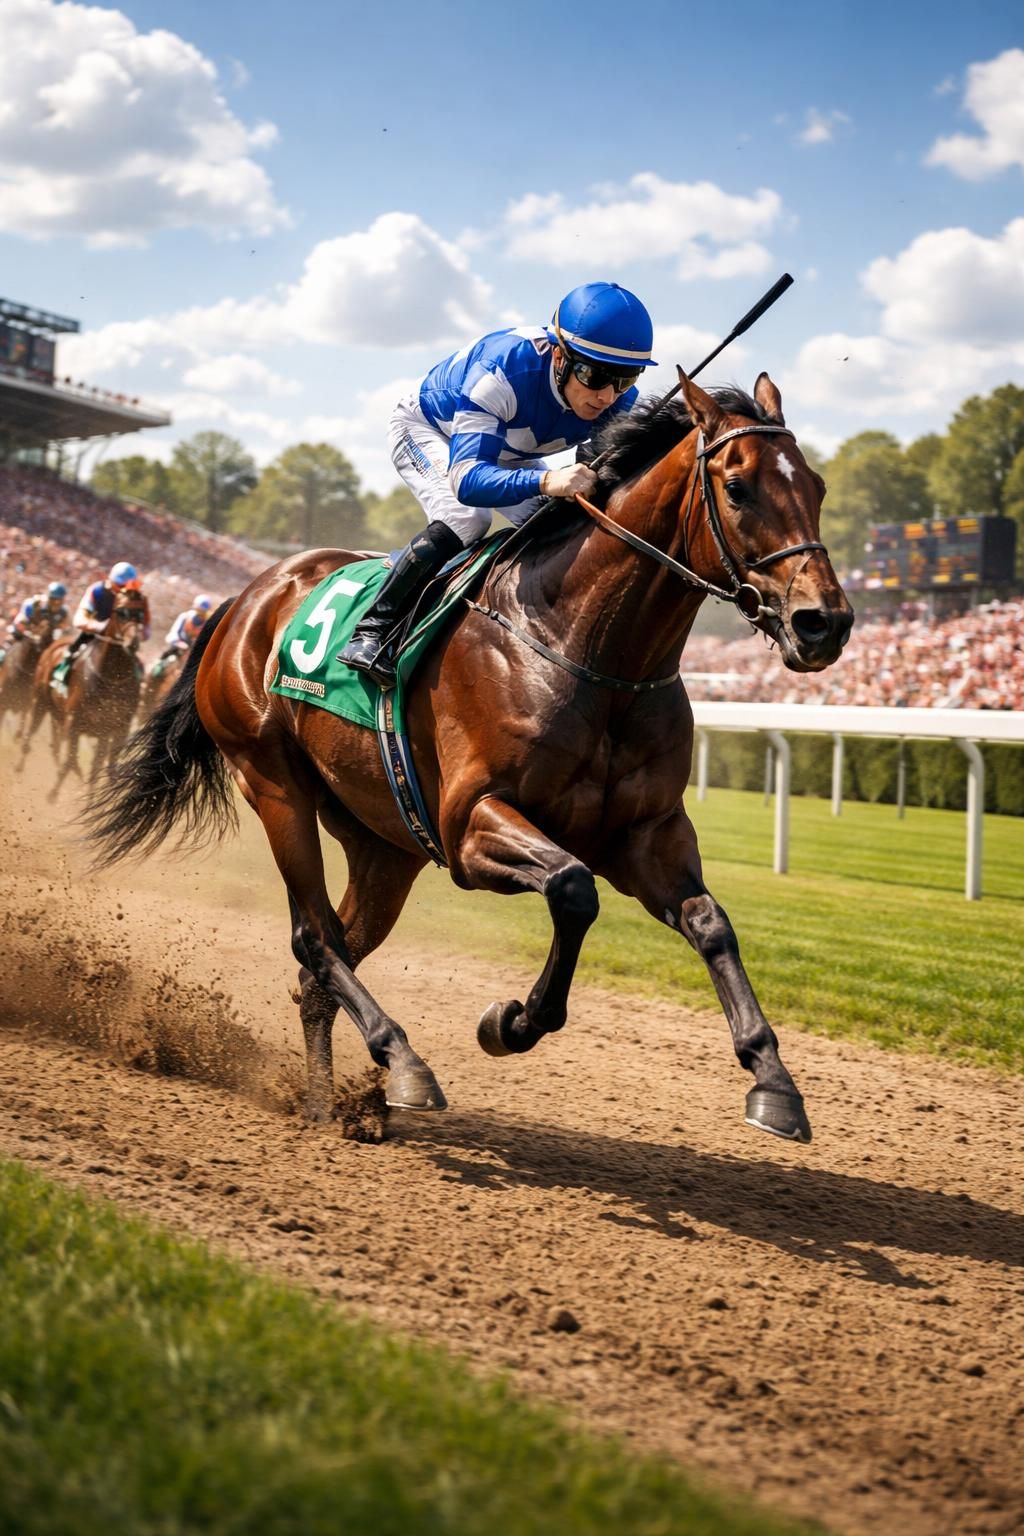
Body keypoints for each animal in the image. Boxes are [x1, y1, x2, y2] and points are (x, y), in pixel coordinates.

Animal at [21, 589, 146, 796]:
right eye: (121, 613)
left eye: (141, 615)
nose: (133, 643)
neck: (111, 677)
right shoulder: (74, 721)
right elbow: (71, 760)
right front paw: (54, 794)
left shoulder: (114, 728)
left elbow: (99, 768)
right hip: (40, 701)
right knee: (30, 734)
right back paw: (20, 766)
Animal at [87, 372, 853, 1142]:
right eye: (738, 487)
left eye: (816, 485)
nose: (825, 622)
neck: (586, 647)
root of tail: (249, 594)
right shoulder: (470, 824)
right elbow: (573, 889)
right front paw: (510, 1022)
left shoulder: (647, 833)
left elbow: (710, 923)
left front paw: (774, 1082)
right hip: (274, 784)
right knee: (316, 938)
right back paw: (403, 1063)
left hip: (384, 843)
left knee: (322, 963)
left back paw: (325, 1103)